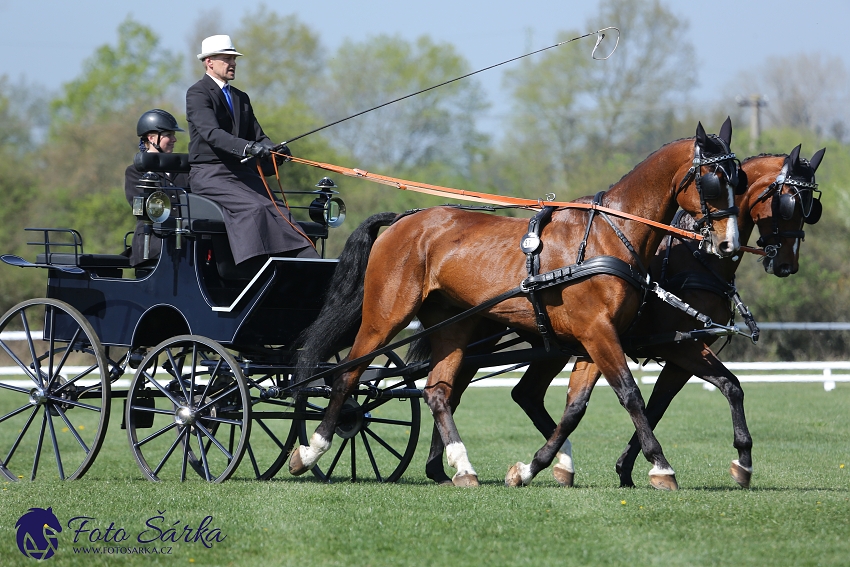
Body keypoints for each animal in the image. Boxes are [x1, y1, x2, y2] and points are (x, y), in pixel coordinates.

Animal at [288, 118, 740, 488]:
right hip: (385, 316)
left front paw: (532, 468)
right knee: (348, 376)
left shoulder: (598, 338)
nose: (729, 244)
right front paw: (661, 467)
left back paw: (462, 467)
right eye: (715, 181)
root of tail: (404, 218)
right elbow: (630, 394)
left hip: (454, 325)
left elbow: (578, 406)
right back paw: (310, 451)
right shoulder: (597, 332)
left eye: (738, 179)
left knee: (438, 391)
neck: (609, 235)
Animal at [494, 144, 824, 490]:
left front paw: (629, 467)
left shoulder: (685, 350)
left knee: (527, 394)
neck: (696, 258)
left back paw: (557, 463)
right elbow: (658, 404)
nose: (787, 264)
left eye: (811, 209)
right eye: (787, 204)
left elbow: (700, 394)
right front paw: (649, 466)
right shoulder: (679, 345)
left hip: (553, 346)